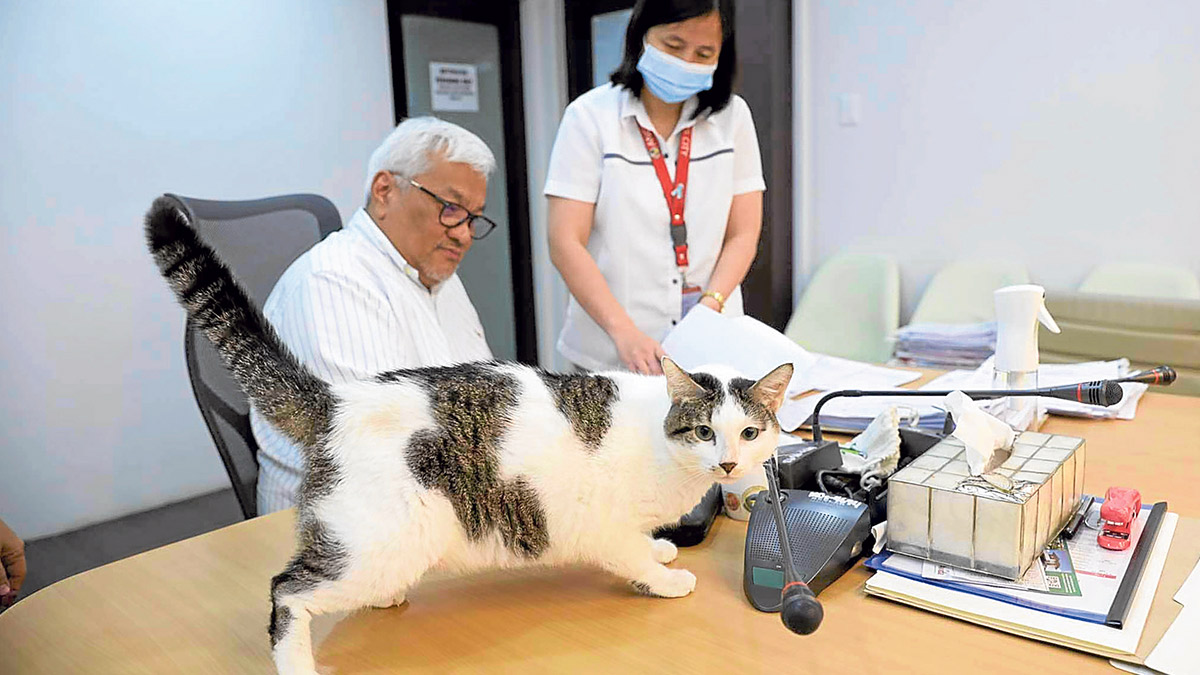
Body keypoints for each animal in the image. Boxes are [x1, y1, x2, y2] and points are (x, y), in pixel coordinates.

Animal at [145, 196, 792, 667]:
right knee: (286, 592)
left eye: (749, 434)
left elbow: (644, 542)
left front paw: (660, 547)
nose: (729, 465)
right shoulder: (601, 526)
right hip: (377, 546)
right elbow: (631, 557)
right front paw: (666, 578)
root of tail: (338, 400)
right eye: (705, 432)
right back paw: (297, 664)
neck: (664, 451)